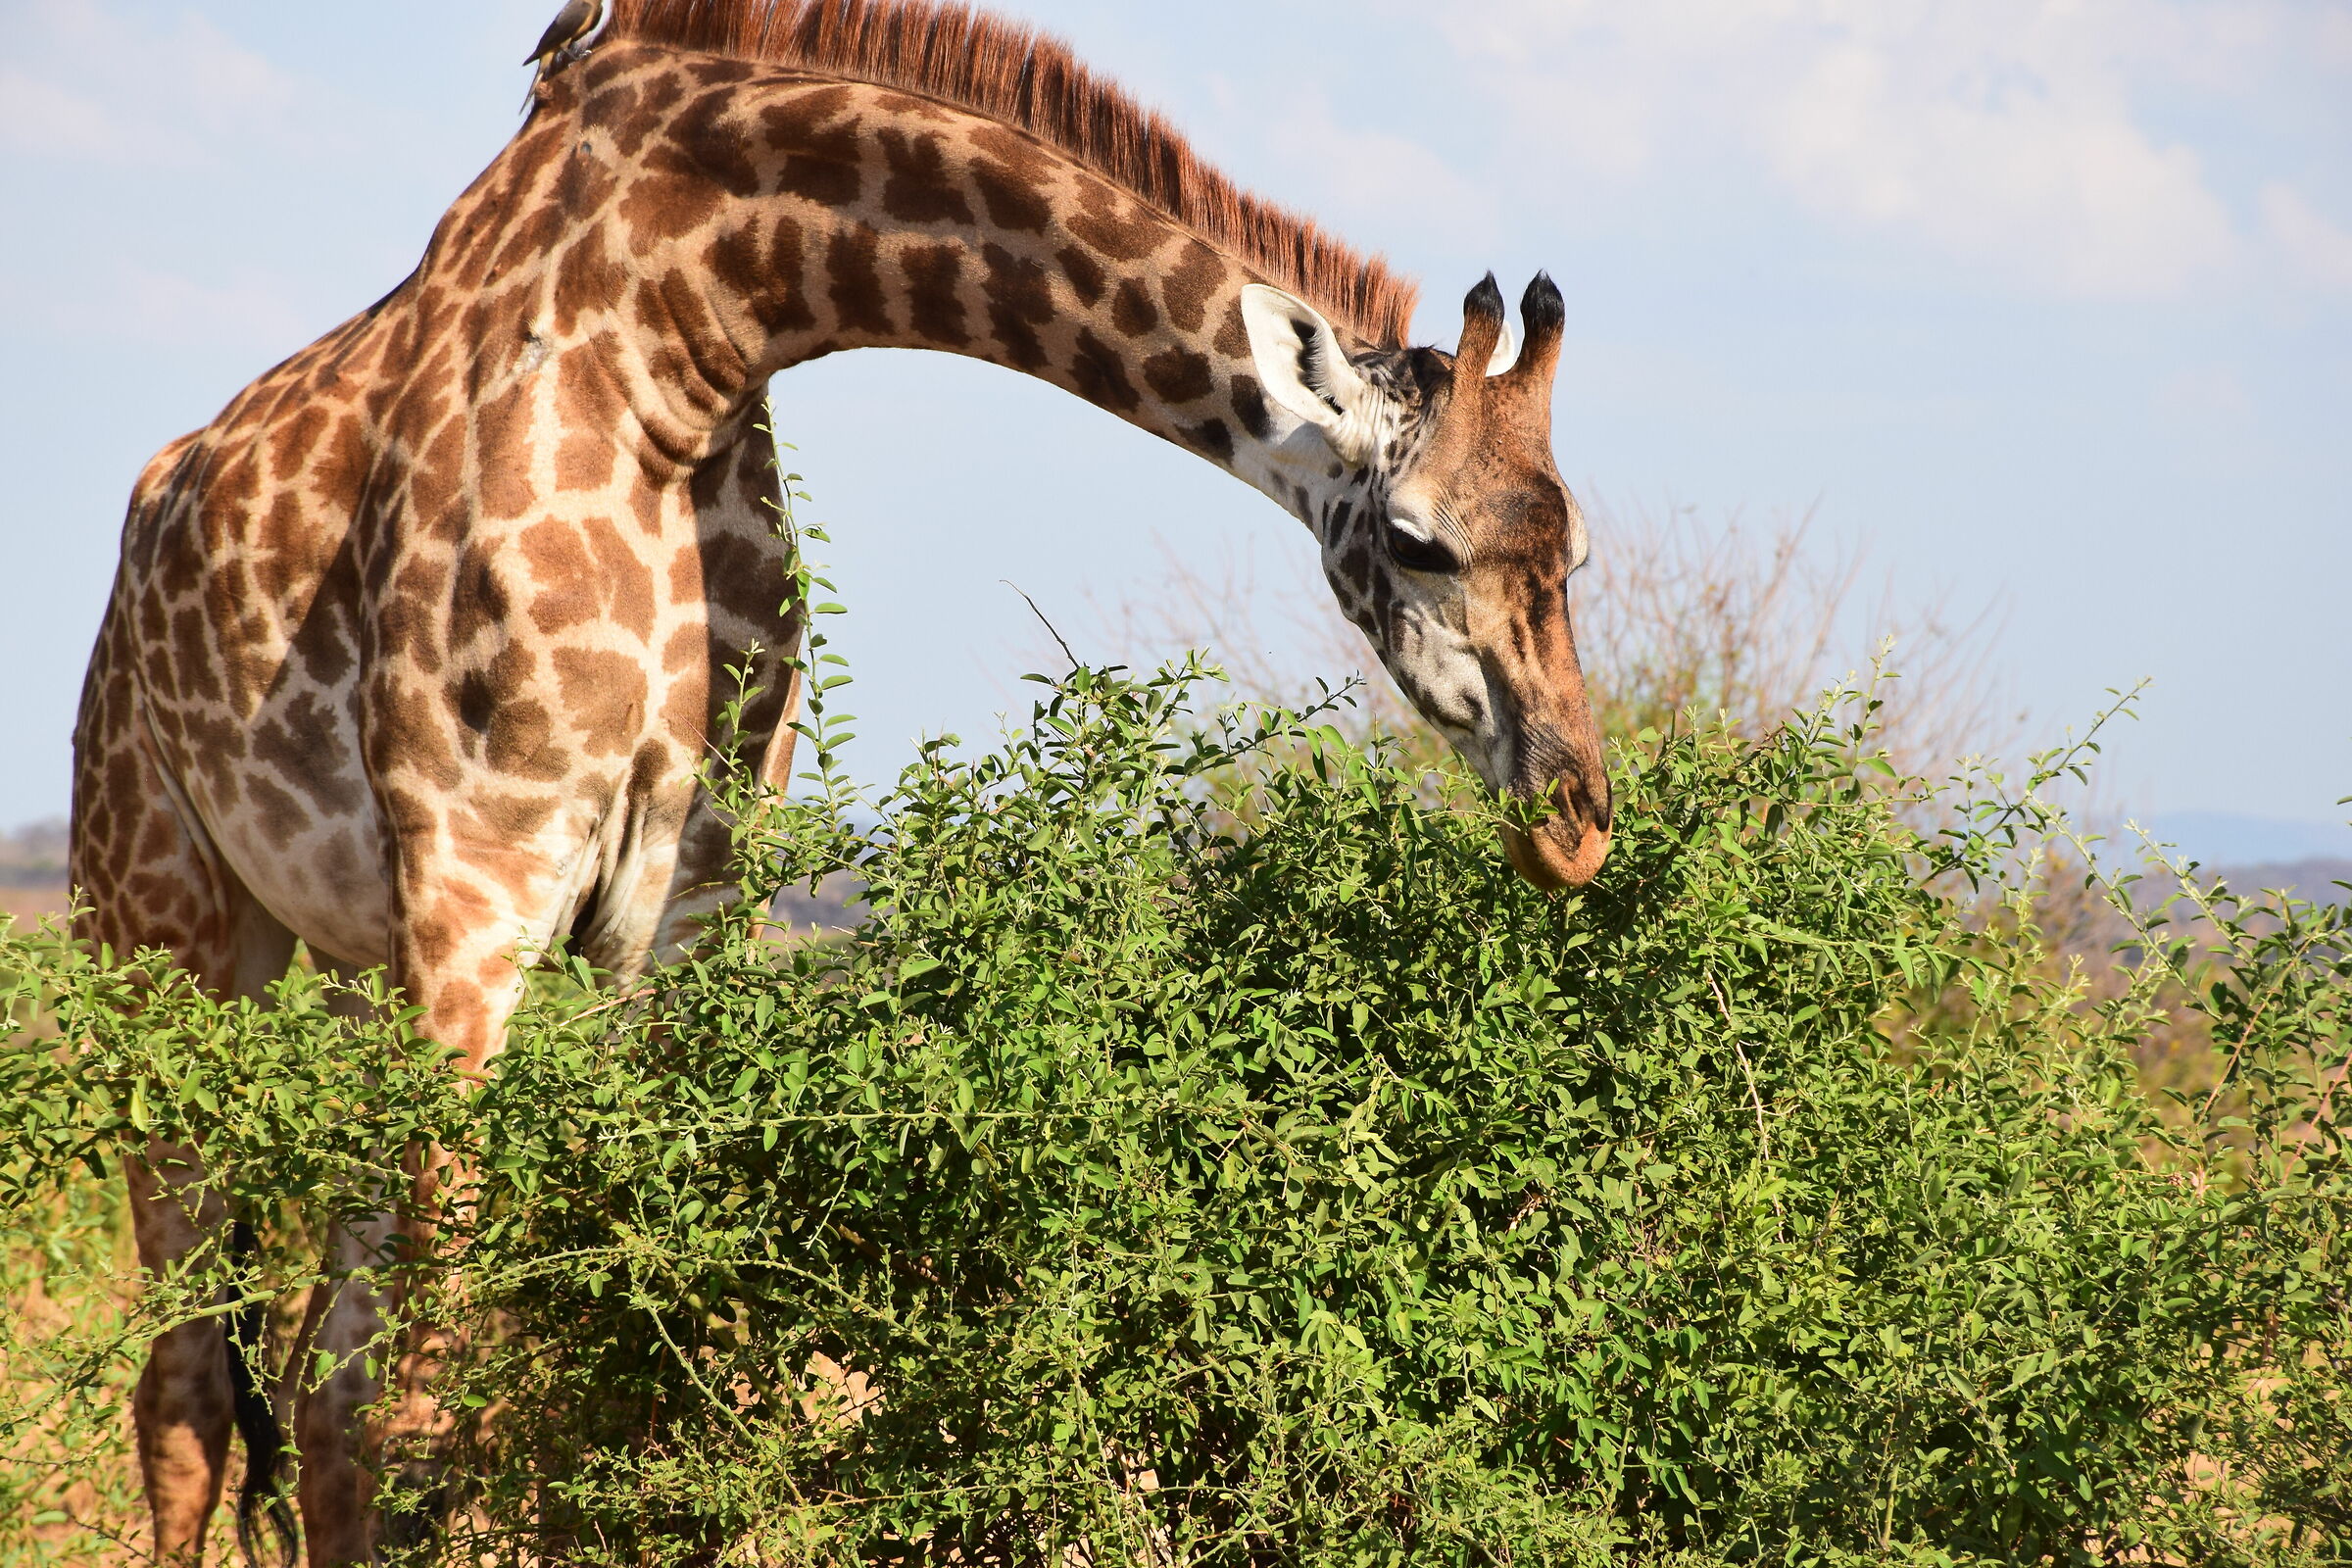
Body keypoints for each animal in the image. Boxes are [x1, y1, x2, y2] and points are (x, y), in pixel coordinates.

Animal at [70, 0, 1612, 1560]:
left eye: (1578, 549)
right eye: (1417, 541)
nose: (1578, 822)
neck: (677, 336)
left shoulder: (678, 909)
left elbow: (630, 1373)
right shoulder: (479, 873)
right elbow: (446, 1400)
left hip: (344, 963)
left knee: (317, 1384)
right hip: (161, 935)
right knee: (196, 1387)